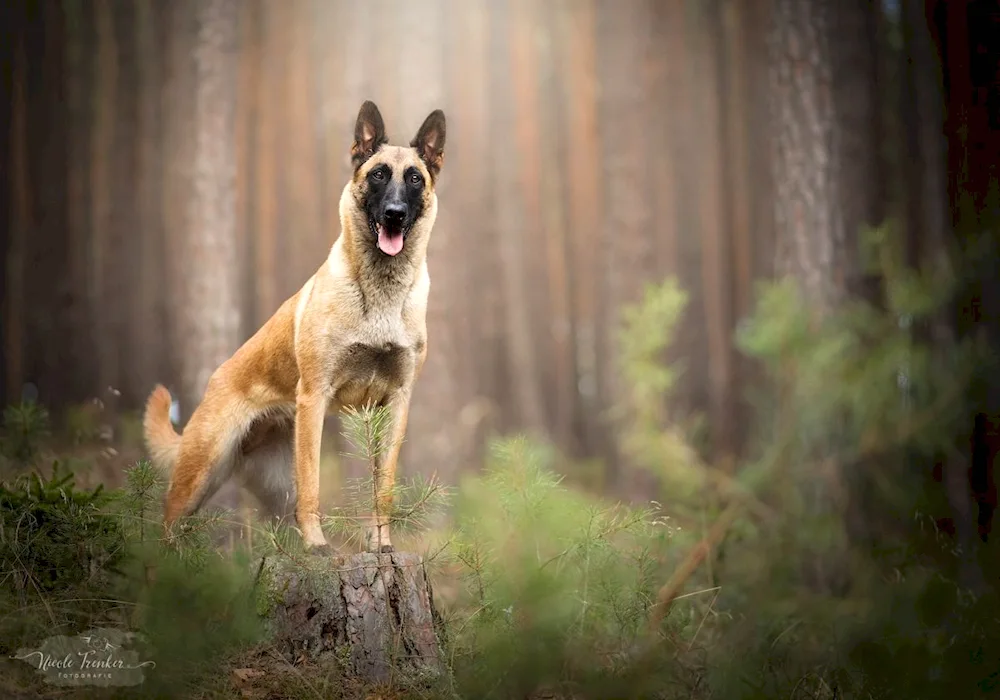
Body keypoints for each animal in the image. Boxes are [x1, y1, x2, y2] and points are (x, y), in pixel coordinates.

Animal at [143, 101, 448, 556]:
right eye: (378, 175)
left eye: (414, 178)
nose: (394, 214)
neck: (379, 293)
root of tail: (216, 379)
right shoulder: (315, 398)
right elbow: (313, 484)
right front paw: (318, 545)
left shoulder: (396, 404)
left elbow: (384, 489)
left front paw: (381, 544)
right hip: (200, 473)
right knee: (166, 527)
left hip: (260, 485)